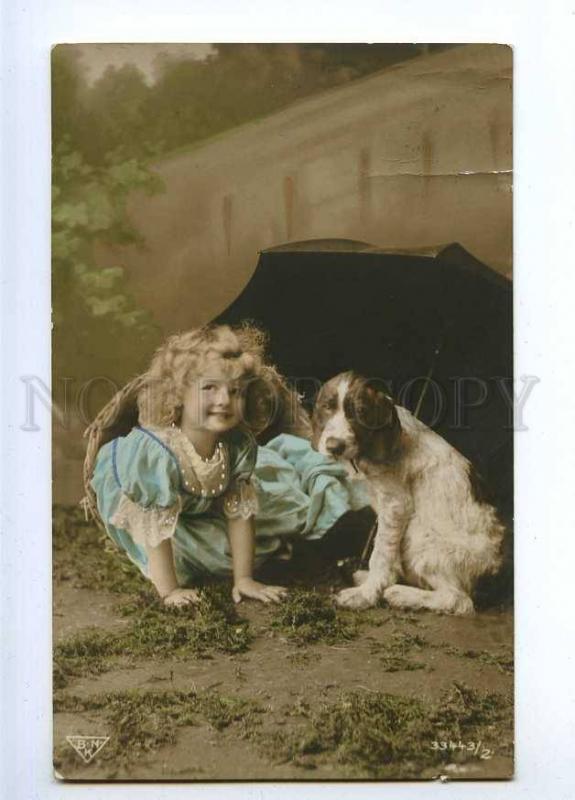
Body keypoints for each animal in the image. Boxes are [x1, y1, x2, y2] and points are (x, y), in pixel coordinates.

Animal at [312, 372, 506, 616]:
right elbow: (388, 554)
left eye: (360, 412)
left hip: (421, 537)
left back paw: (401, 594)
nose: (334, 446)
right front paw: (375, 583)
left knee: (459, 600)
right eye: (326, 407)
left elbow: (381, 553)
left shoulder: (396, 504)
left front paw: (366, 595)